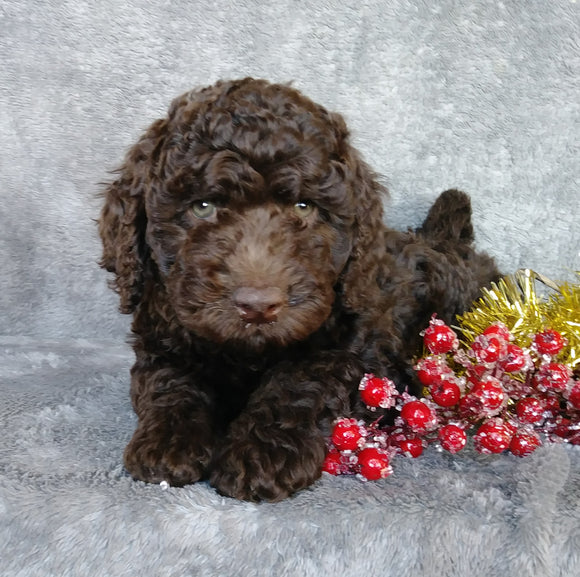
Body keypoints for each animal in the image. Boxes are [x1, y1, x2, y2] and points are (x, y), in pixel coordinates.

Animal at [98, 76, 498, 500]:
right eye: (202, 207)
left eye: (304, 208)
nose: (258, 305)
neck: (246, 352)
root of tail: (445, 238)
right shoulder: (161, 336)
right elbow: (169, 382)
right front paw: (168, 442)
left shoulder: (352, 348)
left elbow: (299, 383)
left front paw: (262, 455)